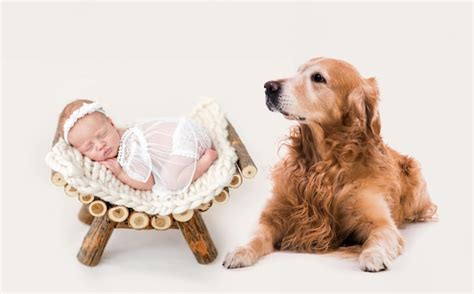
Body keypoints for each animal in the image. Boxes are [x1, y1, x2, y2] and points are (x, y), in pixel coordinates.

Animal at [223, 56, 436, 272]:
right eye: (298, 71)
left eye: (318, 77)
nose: (269, 86)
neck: (323, 165)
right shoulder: (274, 214)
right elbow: (257, 235)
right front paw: (240, 251)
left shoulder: (380, 221)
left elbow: (378, 236)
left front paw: (373, 255)